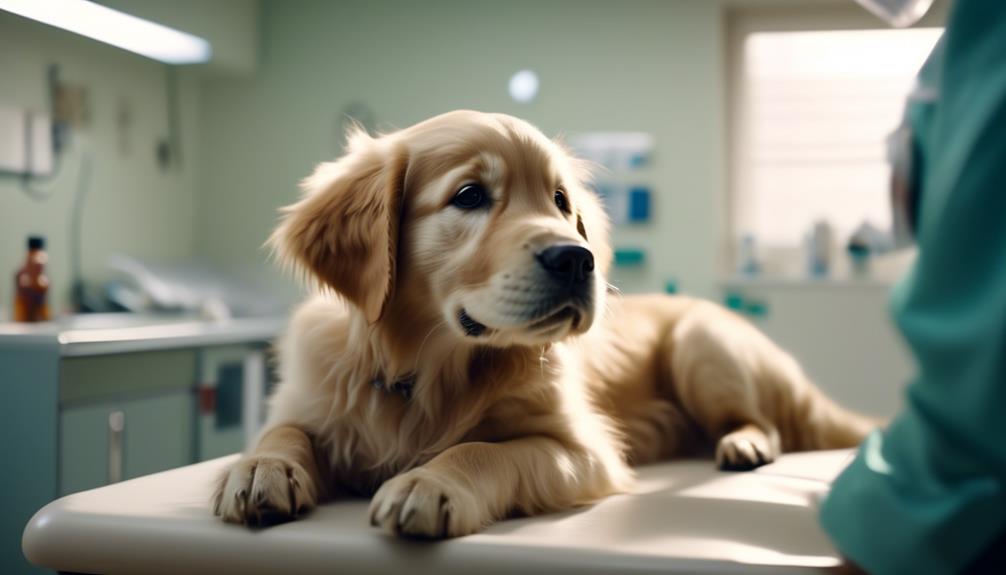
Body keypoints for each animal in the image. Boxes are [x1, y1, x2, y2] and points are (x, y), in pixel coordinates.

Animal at [210, 110, 873, 538]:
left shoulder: (583, 450)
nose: (577, 259)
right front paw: (259, 470)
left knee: (763, 420)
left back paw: (743, 442)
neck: (424, 367)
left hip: (701, 343)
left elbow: (483, 449)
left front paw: (430, 484)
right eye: (469, 195)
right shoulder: (307, 398)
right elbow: (282, 432)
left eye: (560, 202)